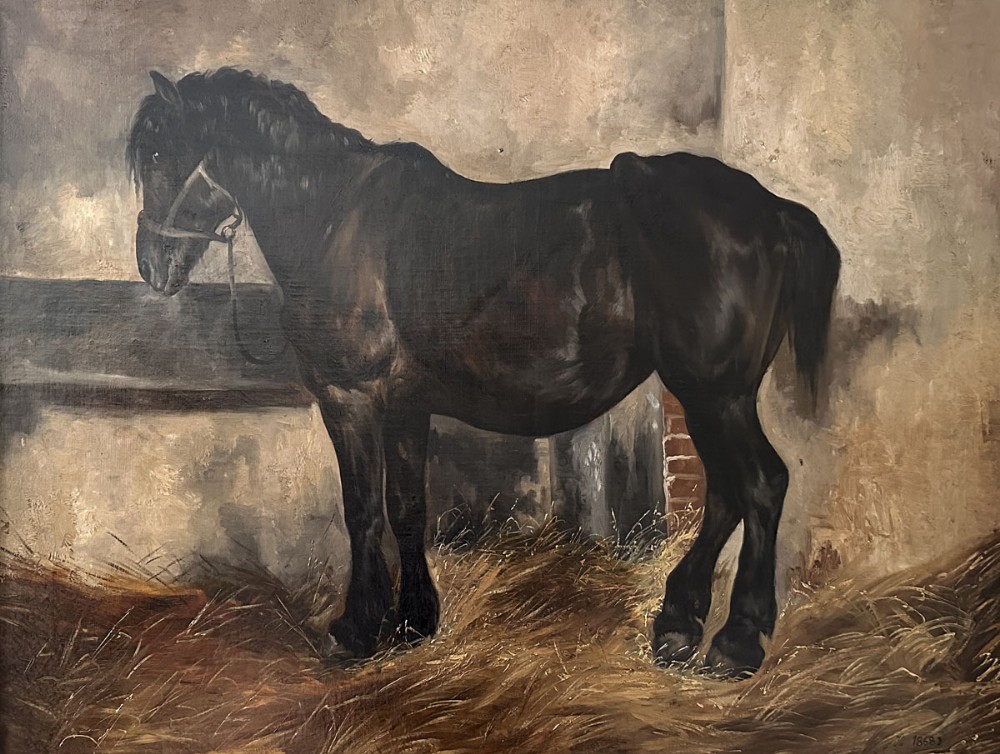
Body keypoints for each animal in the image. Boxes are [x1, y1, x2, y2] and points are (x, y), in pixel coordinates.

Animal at [127, 68, 840, 678]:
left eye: (159, 155)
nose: (152, 265)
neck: (334, 217)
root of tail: (772, 211)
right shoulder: (405, 405)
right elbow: (406, 508)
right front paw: (414, 621)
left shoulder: (350, 398)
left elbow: (362, 511)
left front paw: (355, 630)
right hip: (712, 396)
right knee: (726, 494)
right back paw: (678, 624)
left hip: (715, 393)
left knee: (761, 485)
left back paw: (736, 641)